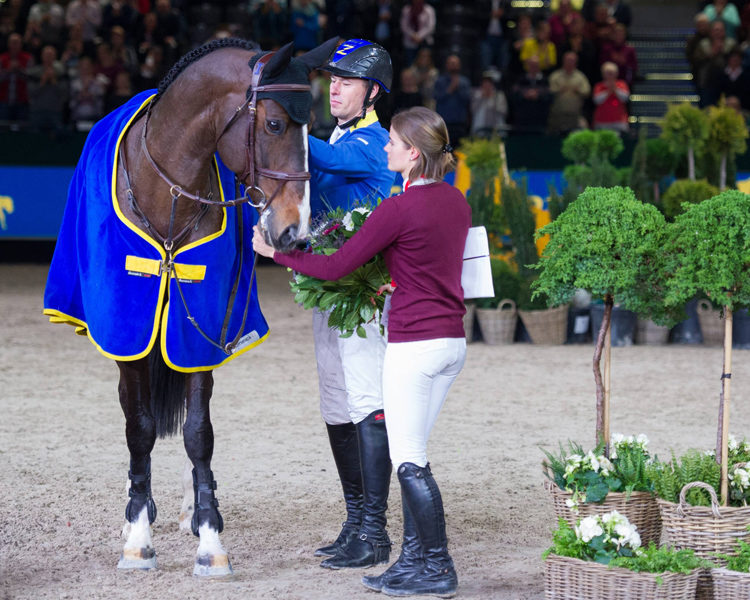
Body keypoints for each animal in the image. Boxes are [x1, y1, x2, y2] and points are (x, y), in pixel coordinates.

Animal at [44, 37, 340, 576]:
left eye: (315, 125)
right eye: (274, 124)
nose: (294, 231)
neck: (166, 189)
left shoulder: (199, 329)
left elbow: (199, 432)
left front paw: (210, 538)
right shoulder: (130, 330)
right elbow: (139, 429)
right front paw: (138, 536)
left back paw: (190, 507)